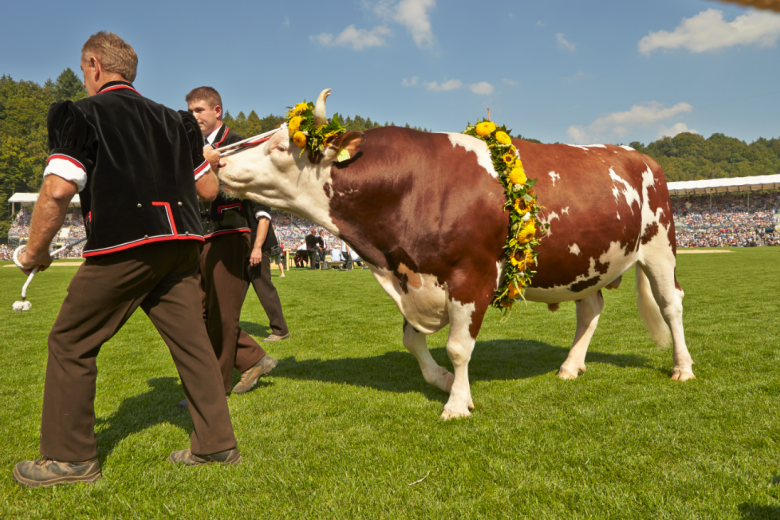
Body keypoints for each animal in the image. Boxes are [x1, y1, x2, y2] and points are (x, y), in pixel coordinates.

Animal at [218, 90, 696, 422]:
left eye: (281, 146)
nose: (216, 161)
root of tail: (637, 155)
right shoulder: (413, 273)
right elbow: (413, 340)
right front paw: (442, 381)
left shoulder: (473, 275)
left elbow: (459, 346)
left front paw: (457, 402)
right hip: (587, 263)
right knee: (591, 308)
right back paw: (570, 366)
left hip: (660, 246)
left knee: (671, 304)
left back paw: (683, 368)